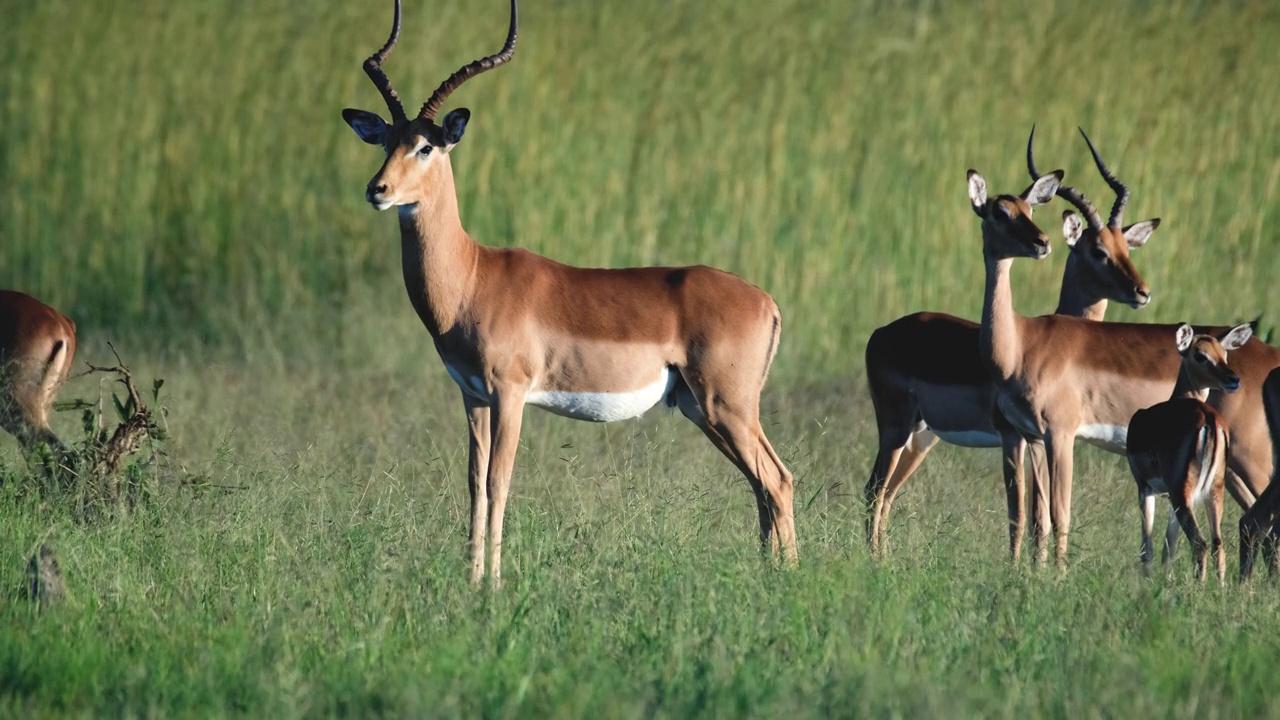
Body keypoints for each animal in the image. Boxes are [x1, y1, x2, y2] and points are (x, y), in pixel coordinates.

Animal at [345, 0, 793, 584]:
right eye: (386, 140)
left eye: (426, 146)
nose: (377, 190)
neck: (472, 277)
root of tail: (767, 301)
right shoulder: (472, 395)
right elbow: (473, 485)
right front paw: (470, 581)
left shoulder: (510, 392)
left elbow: (499, 483)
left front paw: (493, 586)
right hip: (706, 411)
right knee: (762, 487)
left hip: (728, 407)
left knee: (778, 481)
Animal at [1131, 322, 1249, 579]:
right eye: (1201, 355)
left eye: (1223, 354)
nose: (1234, 379)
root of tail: (1209, 420)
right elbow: (1169, 546)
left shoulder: (1145, 488)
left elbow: (1148, 545)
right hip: (1213, 490)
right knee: (1217, 544)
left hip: (1182, 492)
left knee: (1200, 544)